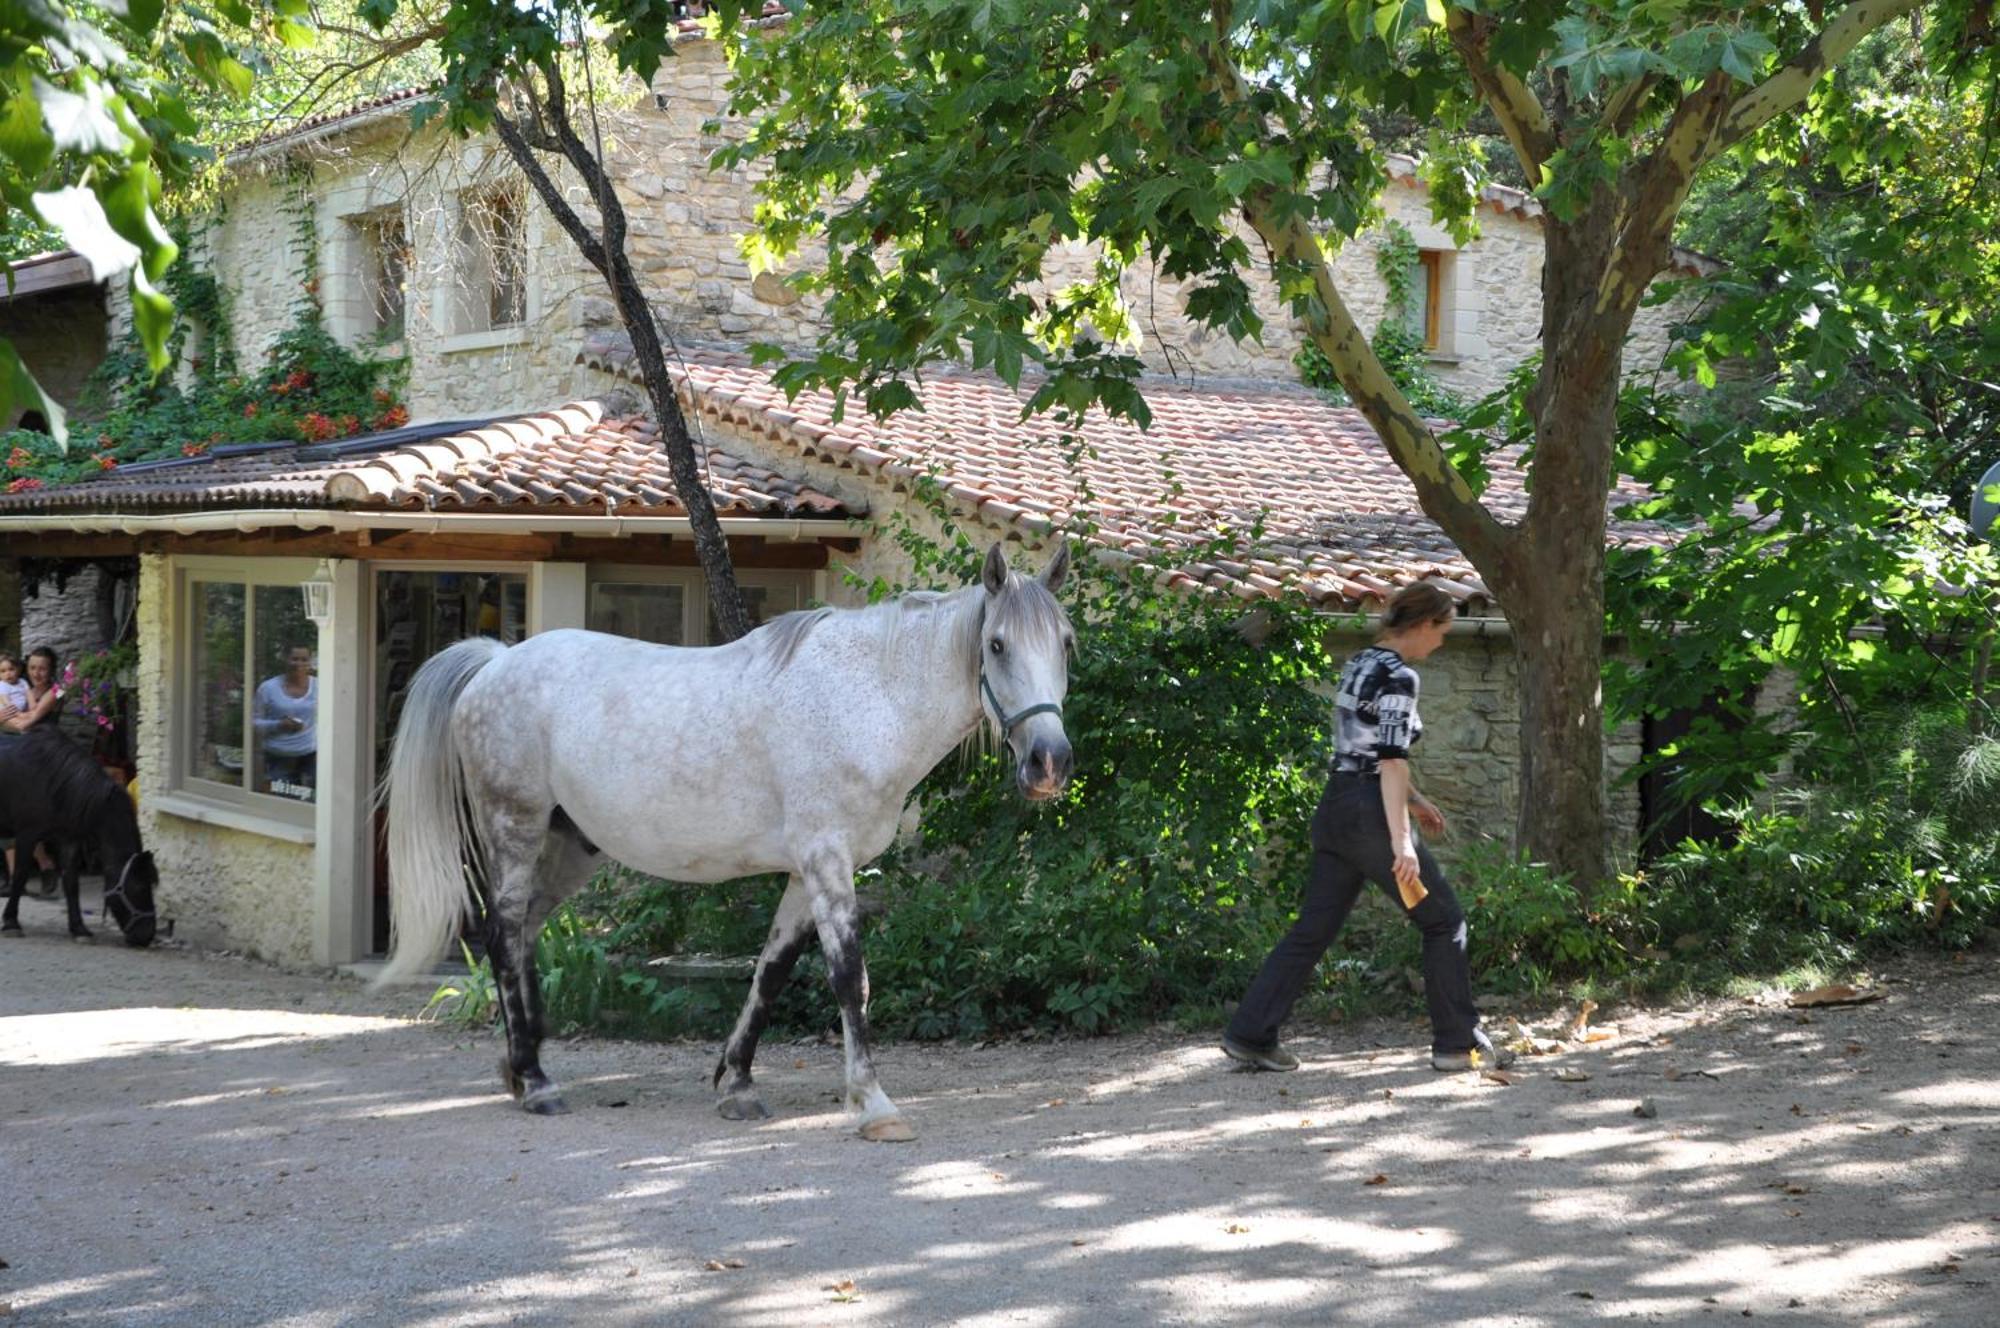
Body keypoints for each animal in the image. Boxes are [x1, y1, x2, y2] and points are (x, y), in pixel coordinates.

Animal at [0, 728, 157, 944]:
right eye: (139, 886)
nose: (147, 935)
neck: (54, 780)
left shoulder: (69, 840)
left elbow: (71, 882)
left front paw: (79, 929)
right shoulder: (27, 835)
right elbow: (20, 874)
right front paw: (11, 922)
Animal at [372, 544, 1064, 1144]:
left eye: (1065, 643)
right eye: (997, 644)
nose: (1049, 762)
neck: (866, 697)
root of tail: (494, 662)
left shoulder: (804, 874)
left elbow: (771, 973)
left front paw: (736, 1083)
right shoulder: (827, 862)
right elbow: (850, 979)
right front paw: (872, 1104)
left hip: (570, 848)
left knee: (521, 936)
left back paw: (521, 1069)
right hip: (514, 829)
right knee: (502, 933)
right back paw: (536, 1082)